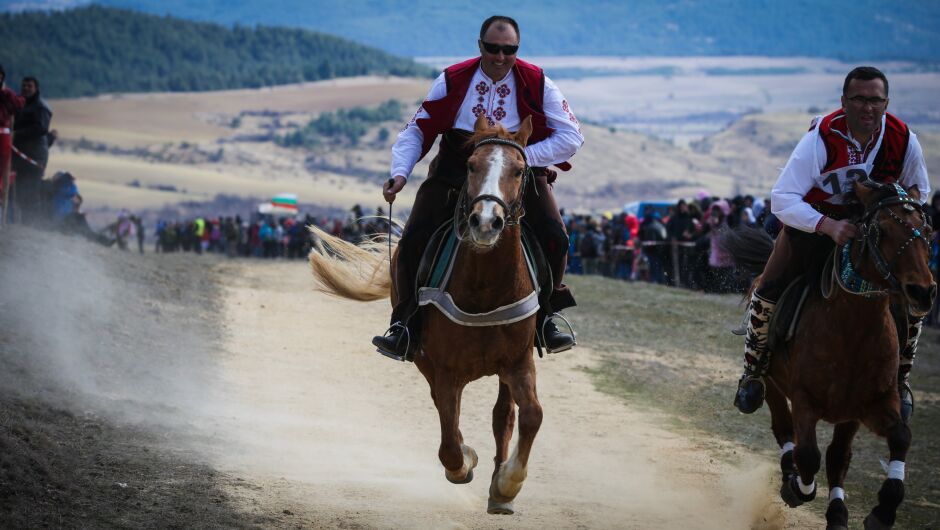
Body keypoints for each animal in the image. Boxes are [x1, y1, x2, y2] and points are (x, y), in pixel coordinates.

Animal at [308, 114, 544, 512]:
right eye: (470, 165)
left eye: (519, 170)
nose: (486, 222)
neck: (486, 287)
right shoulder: (445, 369)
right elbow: (449, 439)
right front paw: (465, 463)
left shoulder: (518, 362)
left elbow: (530, 415)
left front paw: (507, 485)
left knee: (503, 415)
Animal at [728, 182, 932, 528]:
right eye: (882, 230)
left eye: (928, 230)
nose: (923, 291)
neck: (853, 331)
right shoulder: (805, 400)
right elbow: (809, 455)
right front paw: (797, 487)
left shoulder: (871, 404)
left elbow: (898, 437)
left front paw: (882, 510)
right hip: (772, 382)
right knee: (783, 428)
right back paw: (788, 470)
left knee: (838, 456)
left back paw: (836, 512)